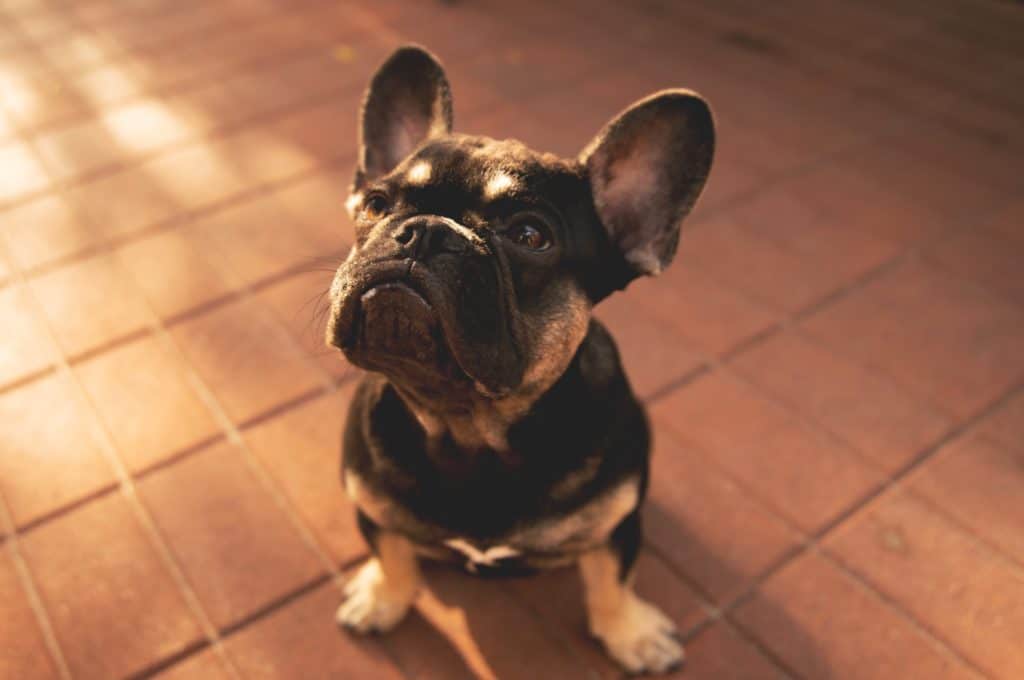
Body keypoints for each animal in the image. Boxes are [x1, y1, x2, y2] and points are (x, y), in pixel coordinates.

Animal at [325, 45, 712, 671]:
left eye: (531, 236)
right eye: (378, 204)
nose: (425, 231)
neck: (469, 430)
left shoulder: (616, 525)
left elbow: (612, 580)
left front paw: (629, 633)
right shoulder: (371, 506)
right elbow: (392, 554)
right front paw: (383, 597)